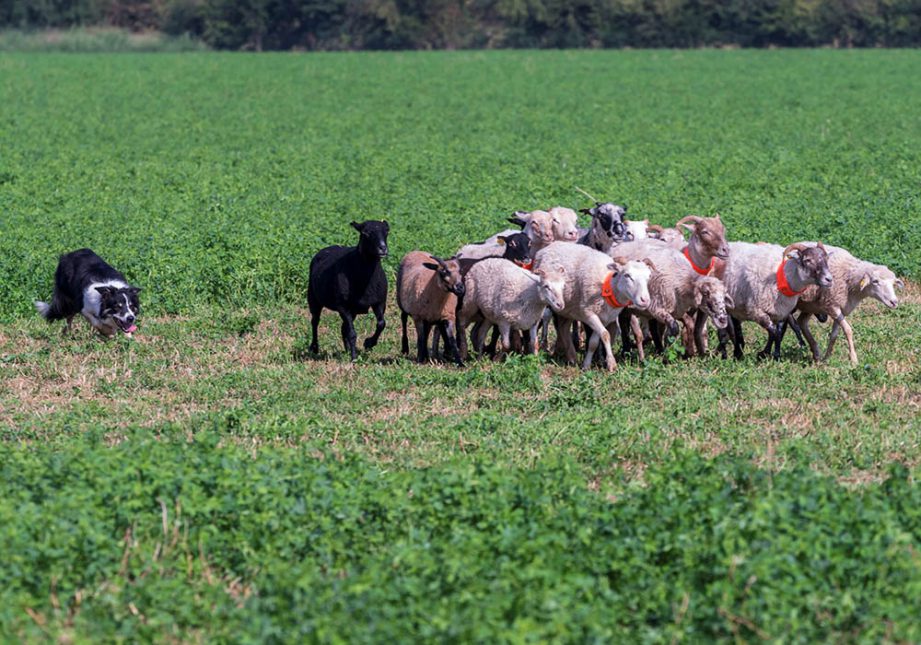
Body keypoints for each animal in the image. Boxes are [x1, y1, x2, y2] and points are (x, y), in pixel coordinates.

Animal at [308, 220, 390, 362]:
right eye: (365, 233)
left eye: (386, 232)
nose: (383, 248)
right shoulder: (343, 306)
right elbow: (352, 333)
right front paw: (354, 358)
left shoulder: (379, 302)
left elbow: (381, 324)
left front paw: (368, 343)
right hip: (313, 298)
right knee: (315, 322)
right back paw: (314, 347)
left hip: (354, 310)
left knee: (343, 328)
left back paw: (346, 350)